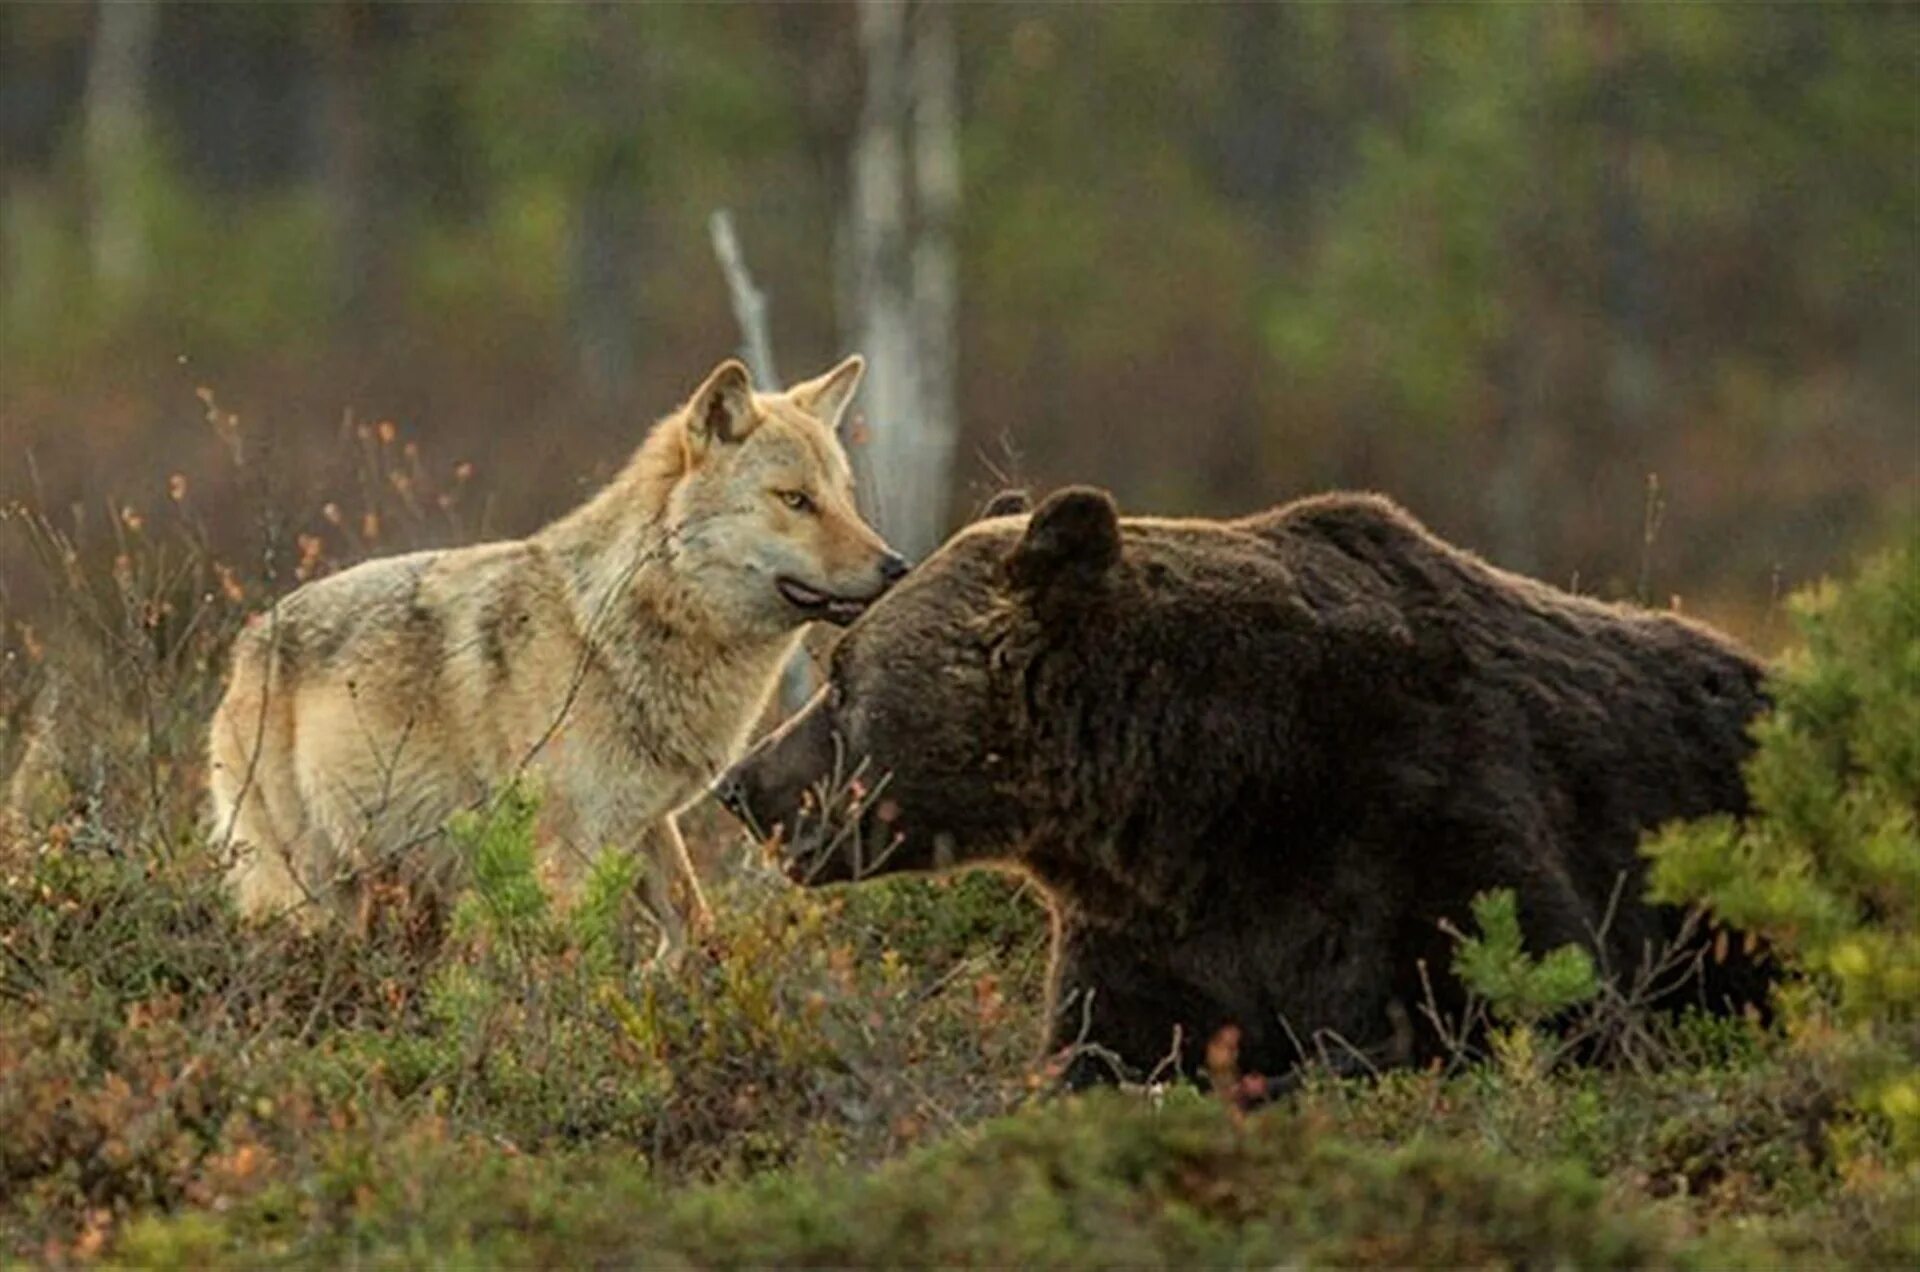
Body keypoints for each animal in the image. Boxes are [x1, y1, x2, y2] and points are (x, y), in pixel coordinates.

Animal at [212, 359, 906, 956]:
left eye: (844, 497)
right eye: (795, 500)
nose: (896, 567)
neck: (605, 635)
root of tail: (245, 645)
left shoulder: (647, 823)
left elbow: (695, 926)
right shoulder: (564, 853)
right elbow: (562, 962)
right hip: (307, 890)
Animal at [710, 486, 1766, 1083]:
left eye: (842, 679)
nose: (741, 784)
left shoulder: (1427, 811)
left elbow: (1540, 1010)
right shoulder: (1156, 937)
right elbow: (1107, 1058)